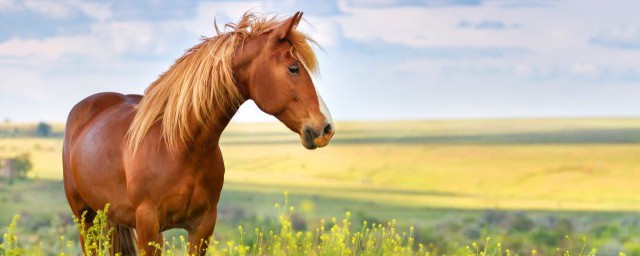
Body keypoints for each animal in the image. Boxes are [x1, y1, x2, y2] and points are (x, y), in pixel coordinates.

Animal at [62, 11, 336, 255]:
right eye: (293, 68)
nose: (326, 128)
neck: (179, 147)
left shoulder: (202, 227)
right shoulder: (149, 227)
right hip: (84, 218)